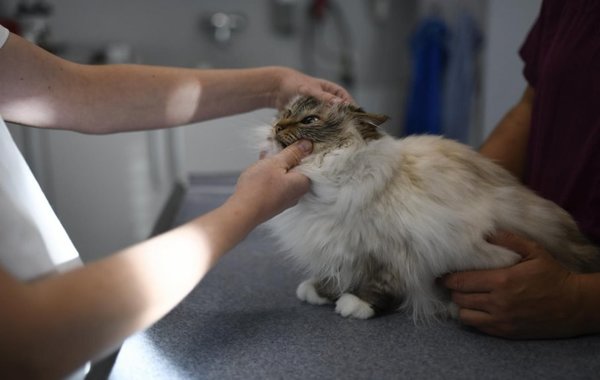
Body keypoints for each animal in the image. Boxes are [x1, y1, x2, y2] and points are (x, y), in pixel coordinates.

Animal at [260, 94, 596, 320]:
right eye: (286, 112)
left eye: (309, 120)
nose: (276, 126)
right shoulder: (341, 247)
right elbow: (335, 275)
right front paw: (318, 292)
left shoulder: (390, 250)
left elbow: (380, 284)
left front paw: (356, 305)